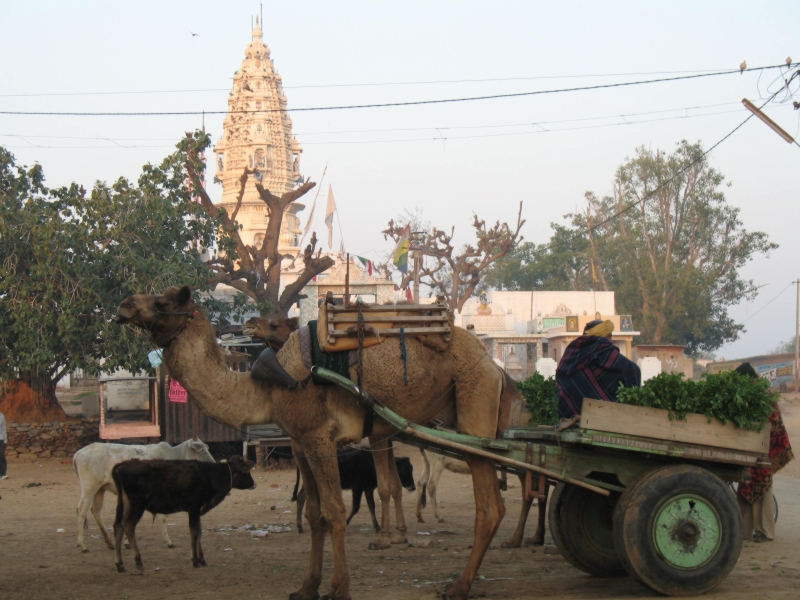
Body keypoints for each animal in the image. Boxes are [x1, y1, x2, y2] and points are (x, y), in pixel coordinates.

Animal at [72, 436, 212, 552]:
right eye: (202, 450)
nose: (212, 463)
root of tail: (78, 453)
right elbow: (162, 517)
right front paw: (169, 541)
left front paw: (127, 542)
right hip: (89, 487)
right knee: (81, 510)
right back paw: (82, 545)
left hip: (100, 489)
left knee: (96, 511)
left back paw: (110, 543)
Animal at [112, 454, 255, 572]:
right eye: (246, 471)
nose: (254, 484)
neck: (210, 475)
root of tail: (122, 465)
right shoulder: (193, 509)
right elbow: (194, 533)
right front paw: (195, 560)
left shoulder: (197, 511)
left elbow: (199, 532)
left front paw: (202, 559)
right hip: (136, 505)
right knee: (128, 526)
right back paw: (138, 561)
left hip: (123, 504)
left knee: (118, 526)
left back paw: (120, 564)